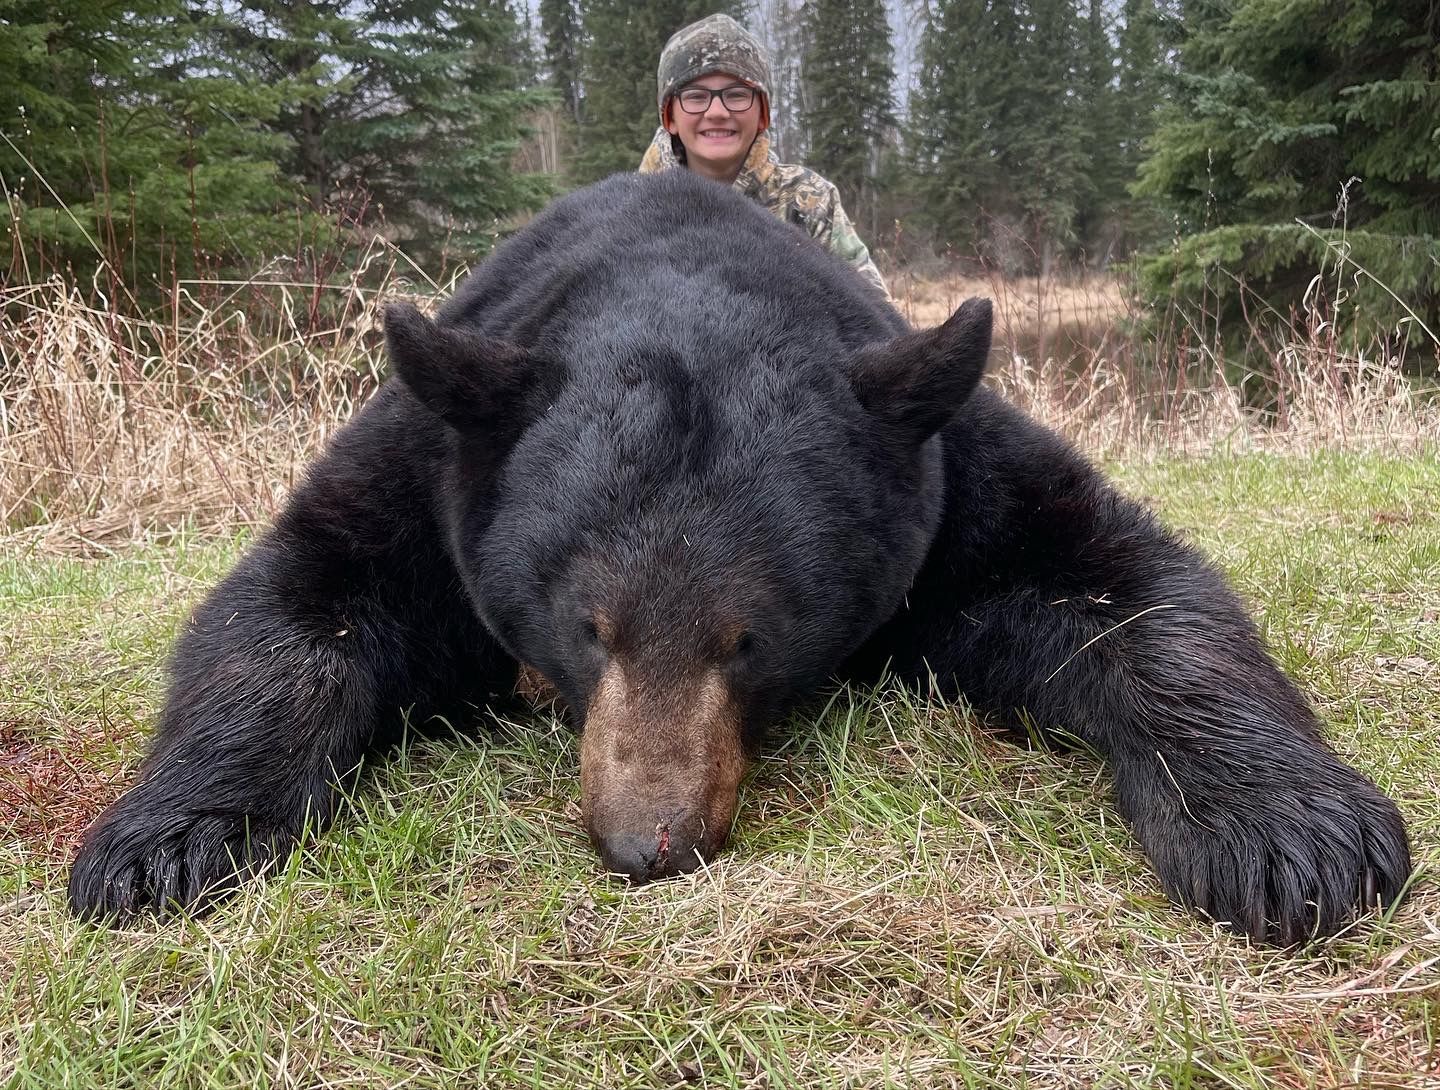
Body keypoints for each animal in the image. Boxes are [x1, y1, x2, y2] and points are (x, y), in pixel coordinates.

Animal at [68, 170, 1410, 946]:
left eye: (750, 637)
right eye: (588, 626)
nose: (647, 843)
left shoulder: (939, 462)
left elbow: (1120, 583)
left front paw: (1294, 837)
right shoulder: (439, 450)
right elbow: (299, 603)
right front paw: (160, 845)